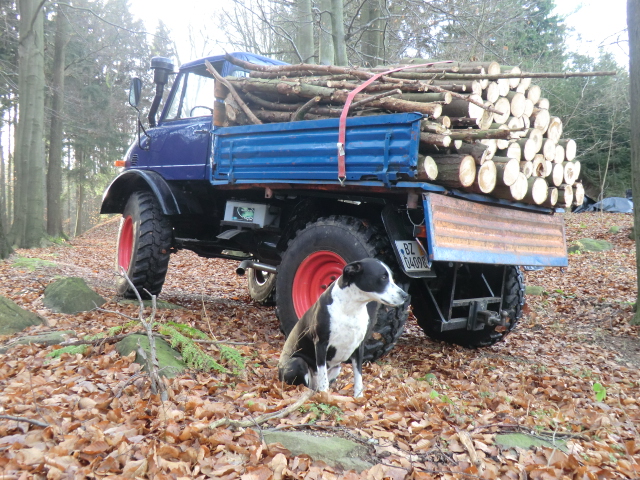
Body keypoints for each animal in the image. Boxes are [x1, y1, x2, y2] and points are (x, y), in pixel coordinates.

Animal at [278, 258, 409, 397]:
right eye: (383, 277)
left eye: (392, 277)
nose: (405, 295)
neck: (351, 308)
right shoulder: (321, 344)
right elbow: (323, 374)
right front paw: (325, 396)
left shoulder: (359, 346)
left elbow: (358, 375)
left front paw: (358, 397)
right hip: (297, 362)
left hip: (337, 368)